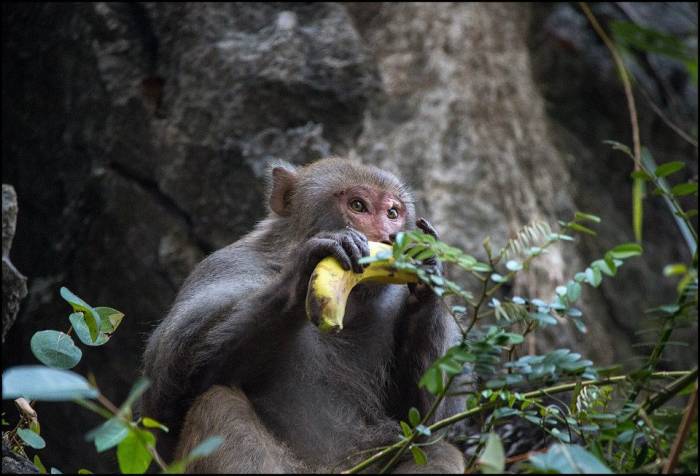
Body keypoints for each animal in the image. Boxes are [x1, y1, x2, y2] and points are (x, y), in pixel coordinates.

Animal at [140, 158, 467, 473]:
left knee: (436, 450)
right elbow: (166, 395)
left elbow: (421, 421)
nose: (388, 235)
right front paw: (303, 270)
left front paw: (429, 275)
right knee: (218, 403)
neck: (352, 303)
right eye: (358, 206)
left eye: (393, 212)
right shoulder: (227, 267)